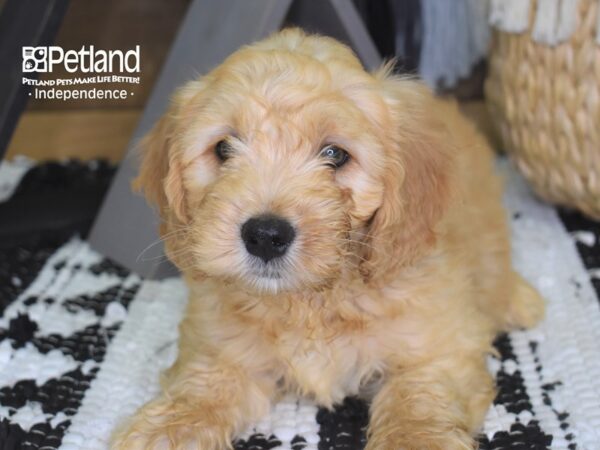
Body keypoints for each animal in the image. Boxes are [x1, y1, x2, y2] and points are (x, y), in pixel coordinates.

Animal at [111, 29, 544, 450]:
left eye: (335, 154)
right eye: (223, 148)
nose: (265, 235)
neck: (312, 303)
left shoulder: (438, 346)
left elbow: (418, 397)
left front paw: (414, 438)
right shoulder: (221, 346)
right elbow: (205, 384)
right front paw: (166, 429)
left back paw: (522, 302)